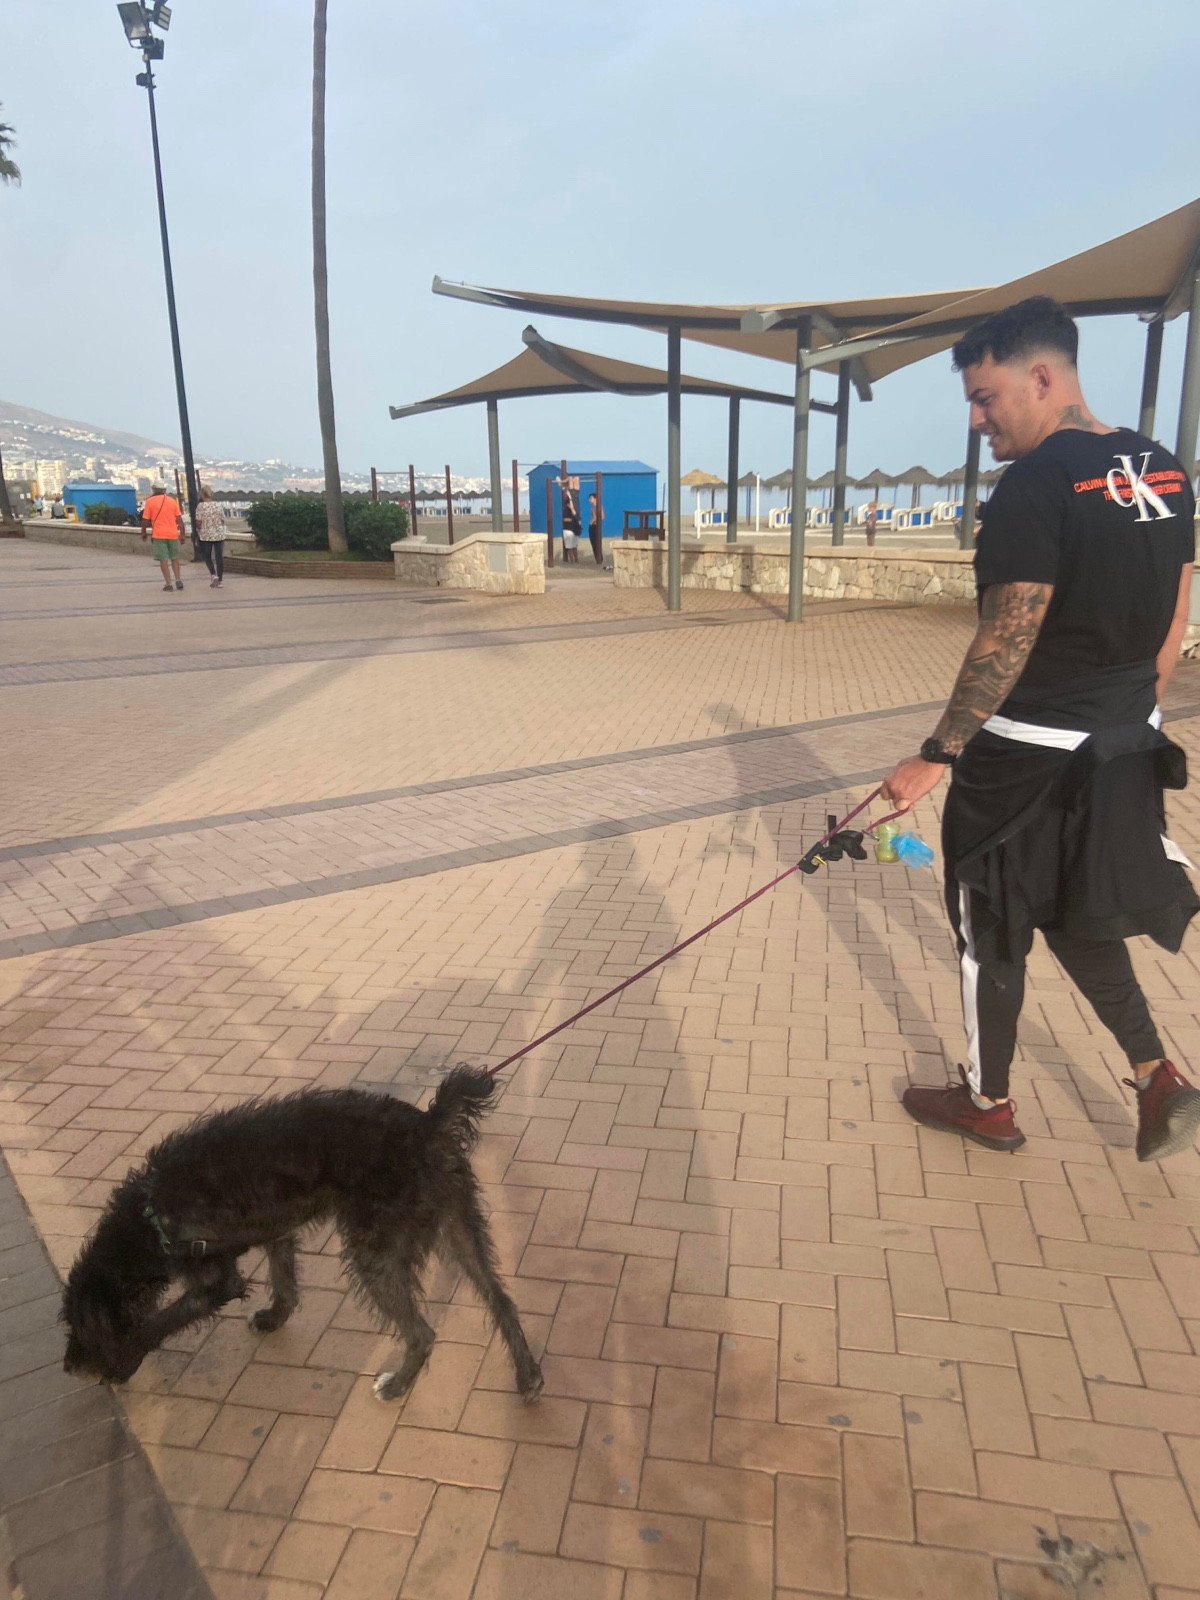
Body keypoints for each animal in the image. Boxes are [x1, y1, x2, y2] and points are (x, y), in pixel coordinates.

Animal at [61, 1067, 544, 1404]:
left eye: (78, 1328)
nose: (68, 1368)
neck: (150, 1215)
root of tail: (427, 1123)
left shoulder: (213, 1280)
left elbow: (161, 1321)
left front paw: (120, 1360)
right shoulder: (275, 1231)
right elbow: (284, 1280)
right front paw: (275, 1317)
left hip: (375, 1254)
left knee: (422, 1333)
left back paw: (397, 1385)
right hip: (457, 1226)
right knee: (501, 1299)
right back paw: (528, 1376)